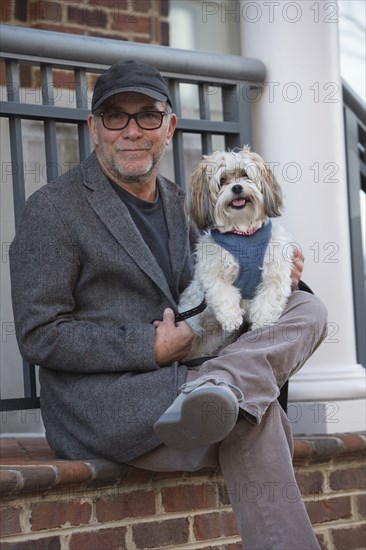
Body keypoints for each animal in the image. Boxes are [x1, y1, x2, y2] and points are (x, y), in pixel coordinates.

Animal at [179, 146, 294, 358]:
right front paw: (231, 318)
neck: (243, 233)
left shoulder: (275, 270)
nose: (237, 188)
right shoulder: (212, 270)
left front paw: (263, 323)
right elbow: (223, 292)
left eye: (245, 175)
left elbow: (269, 297)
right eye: (223, 180)